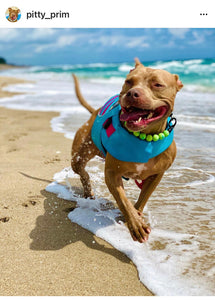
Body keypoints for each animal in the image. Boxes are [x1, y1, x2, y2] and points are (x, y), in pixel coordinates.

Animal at [71, 59, 182, 244]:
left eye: (157, 84)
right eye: (129, 81)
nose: (132, 93)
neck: (144, 138)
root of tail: (95, 112)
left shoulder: (156, 175)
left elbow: (143, 198)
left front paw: (136, 216)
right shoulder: (111, 173)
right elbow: (123, 200)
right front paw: (135, 223)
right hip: (79, 154)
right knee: (82, 172)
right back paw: (88, 191)